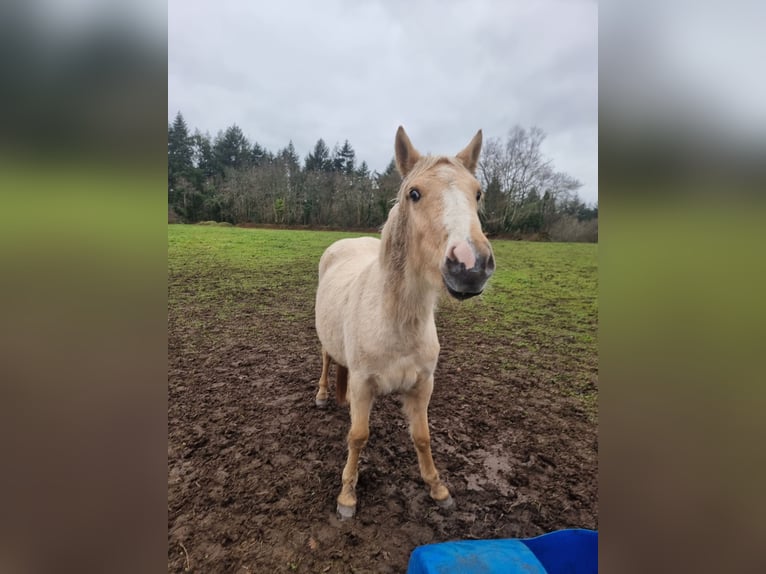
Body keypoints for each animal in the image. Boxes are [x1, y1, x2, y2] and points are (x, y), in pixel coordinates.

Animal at [316, 126, 496, 520]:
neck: (397, 323)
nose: (471, 265)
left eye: (477, 192)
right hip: (324, 341)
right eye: (415, 193)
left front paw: (438, 489)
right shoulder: (363, 385)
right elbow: (358, 436)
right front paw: (347, 496)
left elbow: (422, 437)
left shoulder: (422, 385)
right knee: (325, 359)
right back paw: (321, 394)